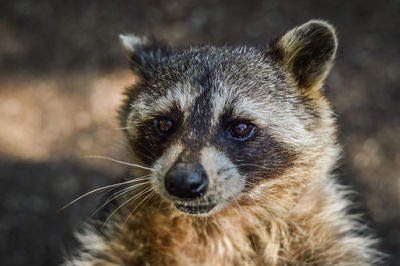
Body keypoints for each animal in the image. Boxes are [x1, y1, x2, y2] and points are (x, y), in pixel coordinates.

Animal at [63, 19, 382, 264]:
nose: (182, 182)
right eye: (165, 123)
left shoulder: (320, 234)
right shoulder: (122, 234)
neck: (220, 222)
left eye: (240, 127)